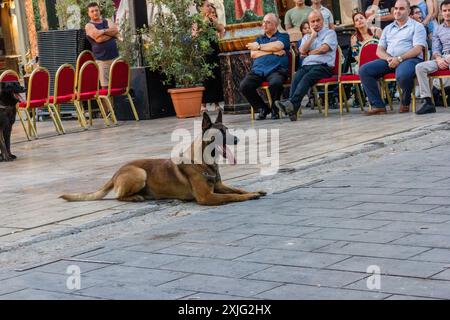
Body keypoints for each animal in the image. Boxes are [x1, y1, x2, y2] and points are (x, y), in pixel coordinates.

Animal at [61, 110, 266, 205]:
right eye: (221, 133)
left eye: (228, 130)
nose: (237, 140)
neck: (203, 162)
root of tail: (116, 172)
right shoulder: (207, 196)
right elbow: (232, 196)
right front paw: (250, 196)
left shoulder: (219, 186)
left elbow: (237, 189)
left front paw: (254, 190)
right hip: (140, 174)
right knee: (119, 196)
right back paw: (136, 198)